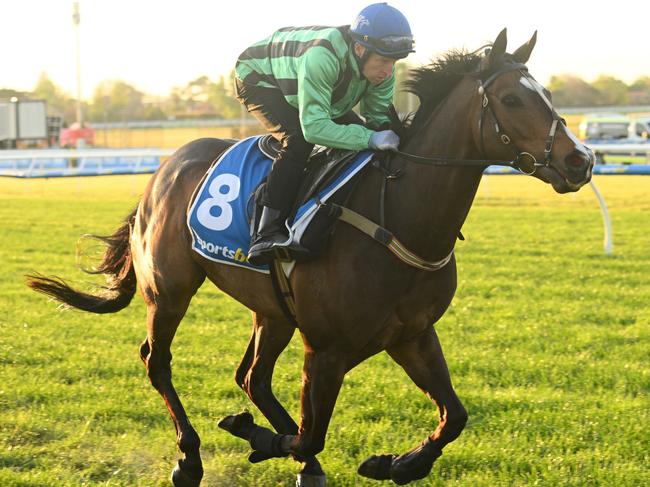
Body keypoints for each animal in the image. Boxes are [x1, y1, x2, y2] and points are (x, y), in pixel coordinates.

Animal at [26, 30, 592, 487]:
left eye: (546, 94)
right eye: (512, 98)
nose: (580, 160)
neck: (396, 216)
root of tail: (166, 167)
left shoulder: (411, 334)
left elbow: (453, 416)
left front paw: (394, 464)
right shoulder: (325, 348)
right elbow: (309, 433)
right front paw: (256, 436)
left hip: (272, 309)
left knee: (252, 376)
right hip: (169, 290)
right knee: (157, 361)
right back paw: (190, 458)